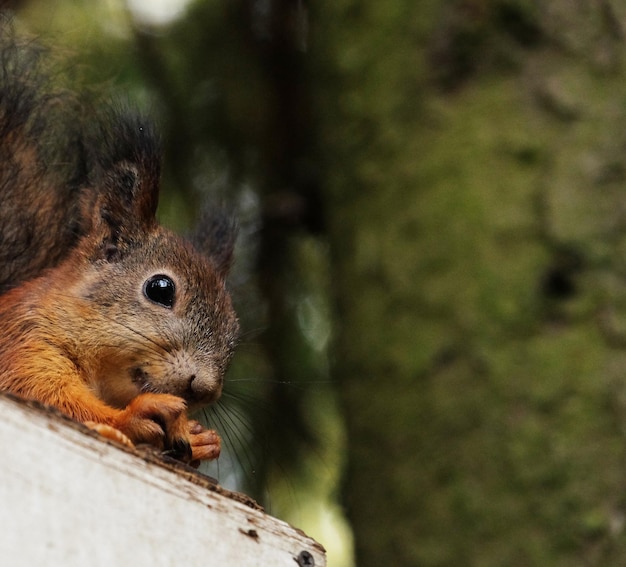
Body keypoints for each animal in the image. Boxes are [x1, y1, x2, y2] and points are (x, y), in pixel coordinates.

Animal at [0, 27, 239, 466]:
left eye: (235, 328)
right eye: (160, 289)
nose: (203, 389)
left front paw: (200, 439)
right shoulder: (23, 344)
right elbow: (44, 392)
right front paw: (132, 415)